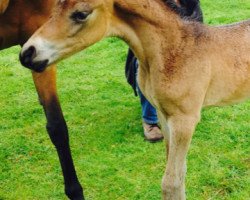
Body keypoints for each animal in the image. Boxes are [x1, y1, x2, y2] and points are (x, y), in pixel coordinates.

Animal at [19, 0, 250, 198]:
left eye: (81, 14)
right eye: (54, 9)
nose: (27, 53)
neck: (173, 49)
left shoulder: (185, 120)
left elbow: (171, 182)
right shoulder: (164, 116)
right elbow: (178, 173)